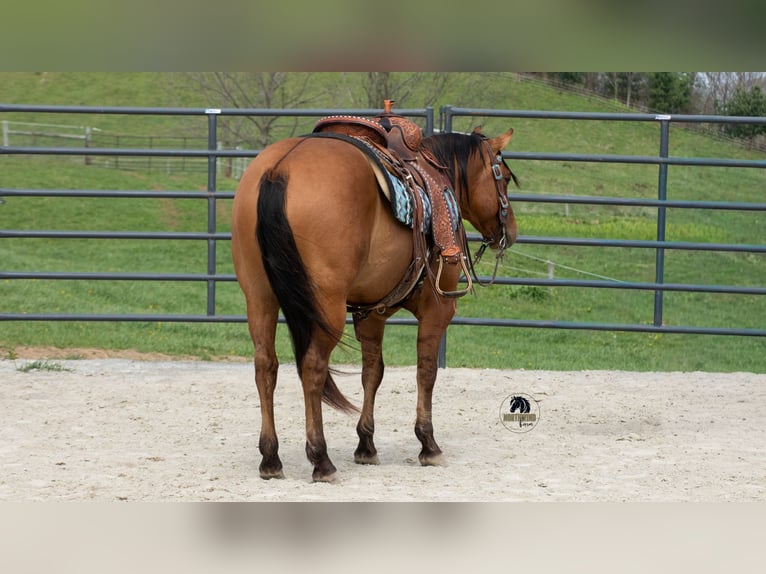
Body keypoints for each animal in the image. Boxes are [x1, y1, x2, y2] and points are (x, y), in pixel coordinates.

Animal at [231, 118, 518, 482]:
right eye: (504, 177)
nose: (510, 232)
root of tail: (279, 169)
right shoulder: (437, 309)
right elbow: (426, 371)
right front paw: (428, 444)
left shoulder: (371, 314)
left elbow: (373, 372)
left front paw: (366, 445)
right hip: (326, 306)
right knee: (312, 368)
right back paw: (321, 459)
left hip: (259, 298)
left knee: (265, 365)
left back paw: (270, 458)